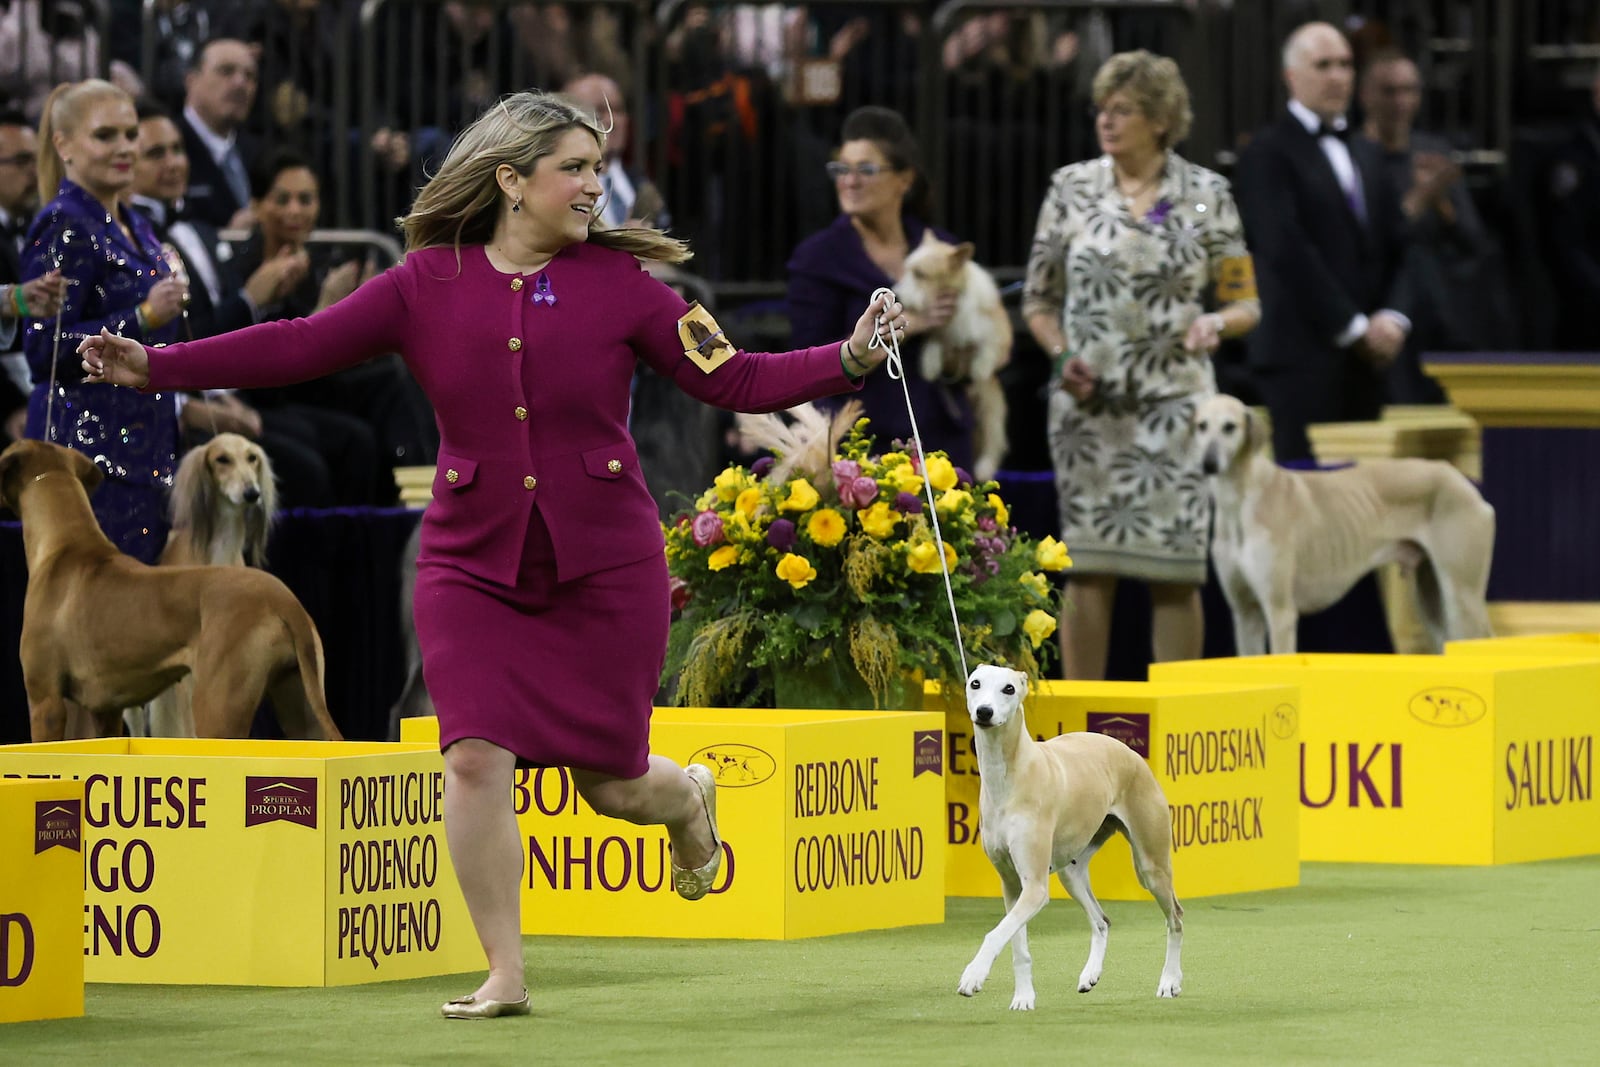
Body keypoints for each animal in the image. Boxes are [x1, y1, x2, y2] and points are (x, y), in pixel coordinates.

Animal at [0, 435, 344, 742]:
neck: (65, 547)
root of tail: (284, 600)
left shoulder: (46, 703)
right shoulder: (106, 710)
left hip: (218, 711)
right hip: (300, 702)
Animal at [953, 668, 1184, 1011]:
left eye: (1009, 689)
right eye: (975, 684)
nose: (984, 712)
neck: (1012, 776)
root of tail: (1128, 751)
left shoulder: (1035, 888)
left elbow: (996, 934)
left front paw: (973, 976)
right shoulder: (1012, 885)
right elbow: (1017, 944)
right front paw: (1023, 997)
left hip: (1151, 866)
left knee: (1175, 918)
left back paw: (1170, 981)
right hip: (1071, 872)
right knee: (1102, 920)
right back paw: (1090, 974)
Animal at [1196, 395, 1491, 655]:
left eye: (1230, 426)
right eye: (1201, 425)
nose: (1208, 463)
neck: (1240, 502)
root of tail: (1460, 479)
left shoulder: (1280, 612)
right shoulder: (1245, 614)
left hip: (1462, 596)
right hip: (1431, 597)